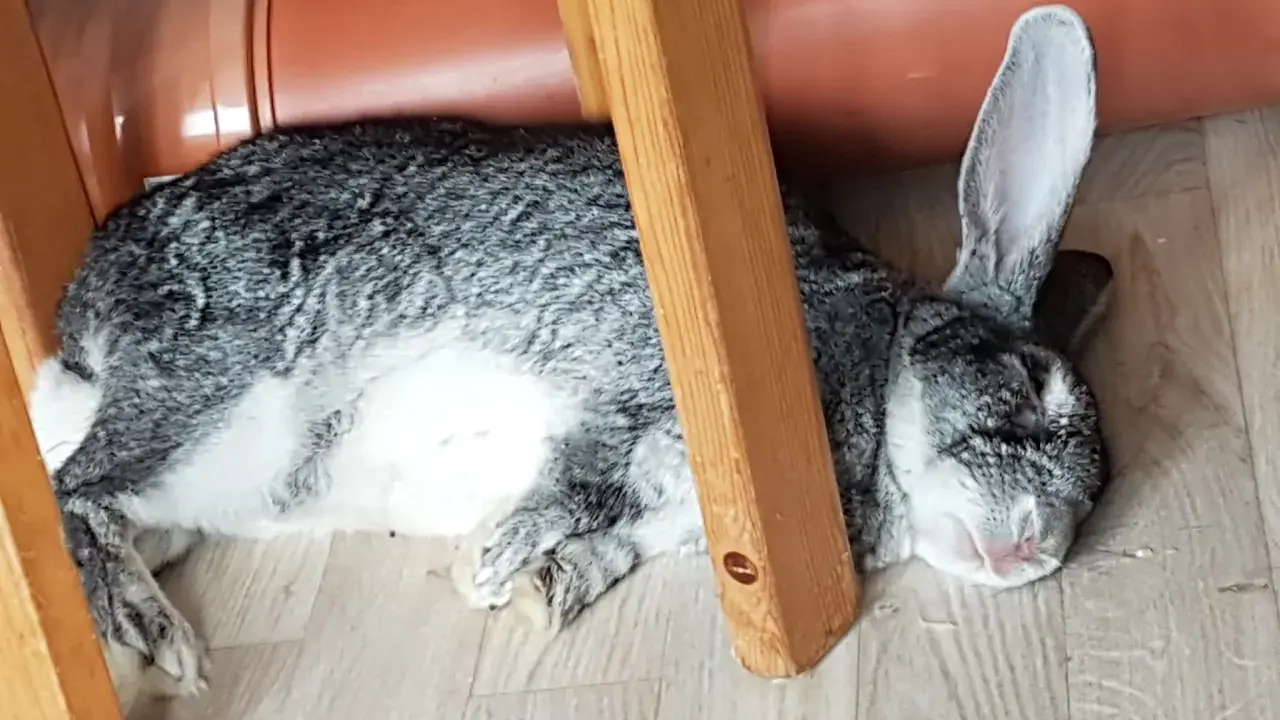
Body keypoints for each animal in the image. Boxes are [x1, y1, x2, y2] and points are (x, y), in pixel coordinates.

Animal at [25, 3, 1111, 705]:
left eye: (1096, 494)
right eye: (1026, 386)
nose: (1038, 547)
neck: (879, 362)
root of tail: (82, 333)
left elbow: (606, 537)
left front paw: (533, 593)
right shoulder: (636, 404)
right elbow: (581, 483)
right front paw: (495, 562)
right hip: (220, 383)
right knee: (80, 491)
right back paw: (155, 638)